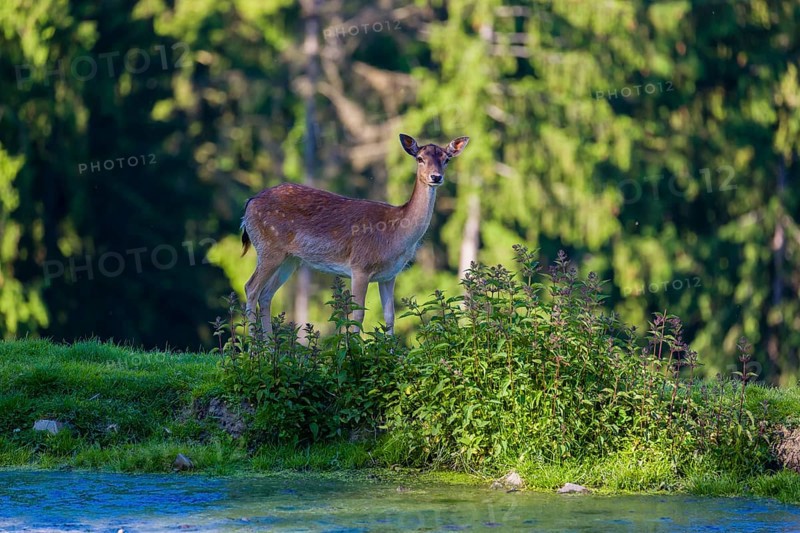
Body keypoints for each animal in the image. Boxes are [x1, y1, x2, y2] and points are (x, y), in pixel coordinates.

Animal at [240, 133, 469, 336]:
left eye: (446, 159)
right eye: (420, 158)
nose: (436, 177)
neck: (396, 236)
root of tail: (249, 203)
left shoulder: (390, 275)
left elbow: (390, 316)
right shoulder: (360, 265)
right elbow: (358, 315)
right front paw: (357, 351)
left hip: (290, 259)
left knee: (266, 295)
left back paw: (270, 347)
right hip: (269, 248)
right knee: (251, 288)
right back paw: (254, 348)